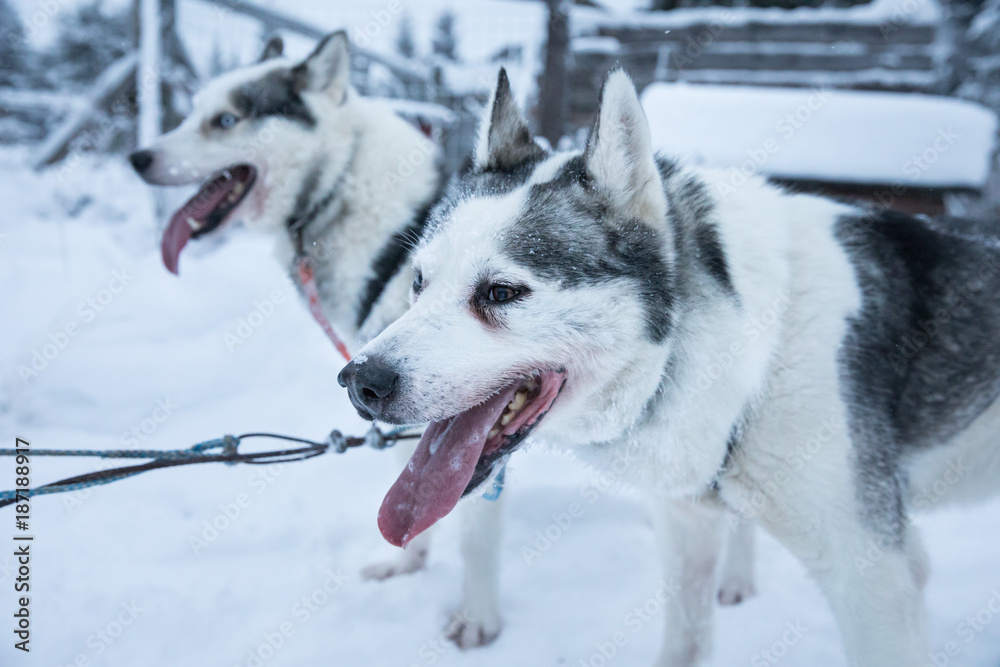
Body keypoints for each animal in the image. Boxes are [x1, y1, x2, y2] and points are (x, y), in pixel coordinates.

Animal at [340, 69, 1000, 667]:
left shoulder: (876, 580)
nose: (360, 382)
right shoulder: (688, 523)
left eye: (501, 292)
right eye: (419, 282)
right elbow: (686, 638)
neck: (753, 358)